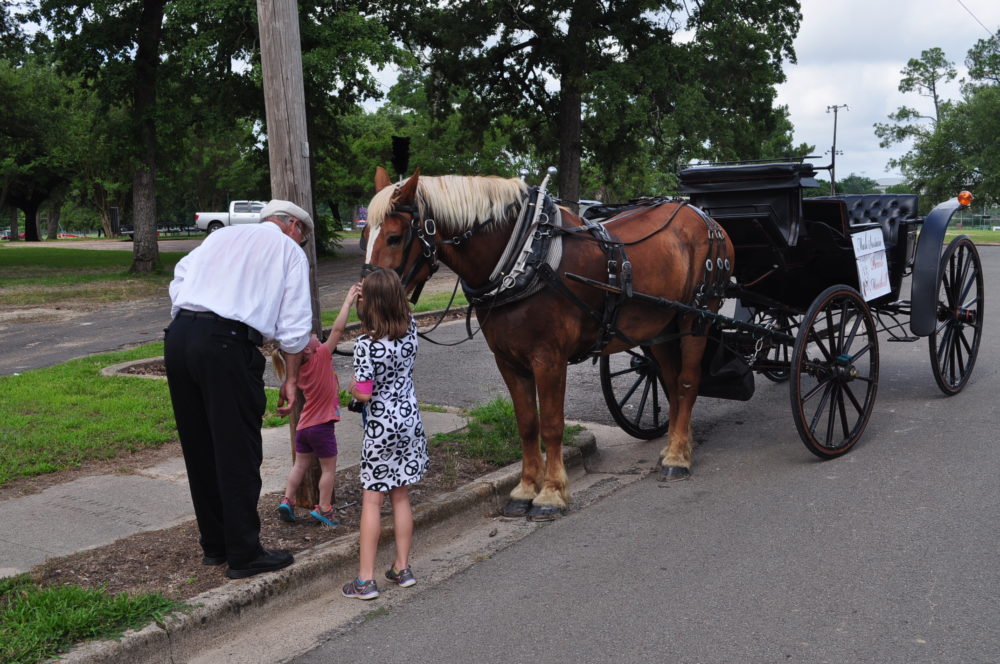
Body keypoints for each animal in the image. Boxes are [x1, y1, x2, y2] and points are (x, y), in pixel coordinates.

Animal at [364, 166, 732, 520]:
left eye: (395, 237)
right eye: (365, 234)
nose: (365, 304)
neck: (524, 257)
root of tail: (702, 217)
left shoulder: (549, 359)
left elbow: (553, 425)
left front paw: (552, 494)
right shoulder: (508, 361)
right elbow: (527, 423)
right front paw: (526, 490)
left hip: (695, 319)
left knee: (686, 382)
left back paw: (678, 458)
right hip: (657, 326)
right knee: (669, 378)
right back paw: (674, 446)